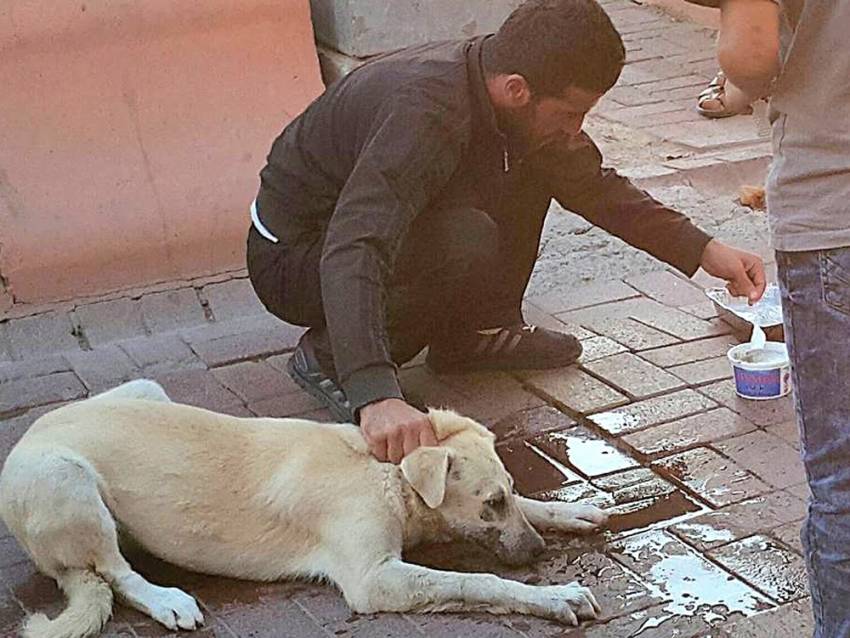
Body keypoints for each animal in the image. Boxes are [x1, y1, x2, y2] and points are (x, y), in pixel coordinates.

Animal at [1, 380, 608, 638]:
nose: (538, 553)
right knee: (116, 572)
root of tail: (29, 433)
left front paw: (569, 513)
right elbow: (476, 582)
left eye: (507, 491)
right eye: (490, 504)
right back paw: (165, 598)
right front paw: (554, 596)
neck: (386, 472)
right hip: (65, 478)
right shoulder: (373, 580)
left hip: (147, 390)